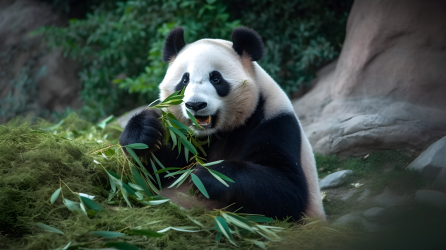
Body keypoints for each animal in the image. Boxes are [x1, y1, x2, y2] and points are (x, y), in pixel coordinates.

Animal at [120, 26, 326, 220]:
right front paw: (143, 135)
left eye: (216, 78)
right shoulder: (187, 139)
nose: (195, 105)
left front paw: (208, 176)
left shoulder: (275, 122)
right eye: (184, 80)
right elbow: (154, 172)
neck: (217, 133)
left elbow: (287, 190)